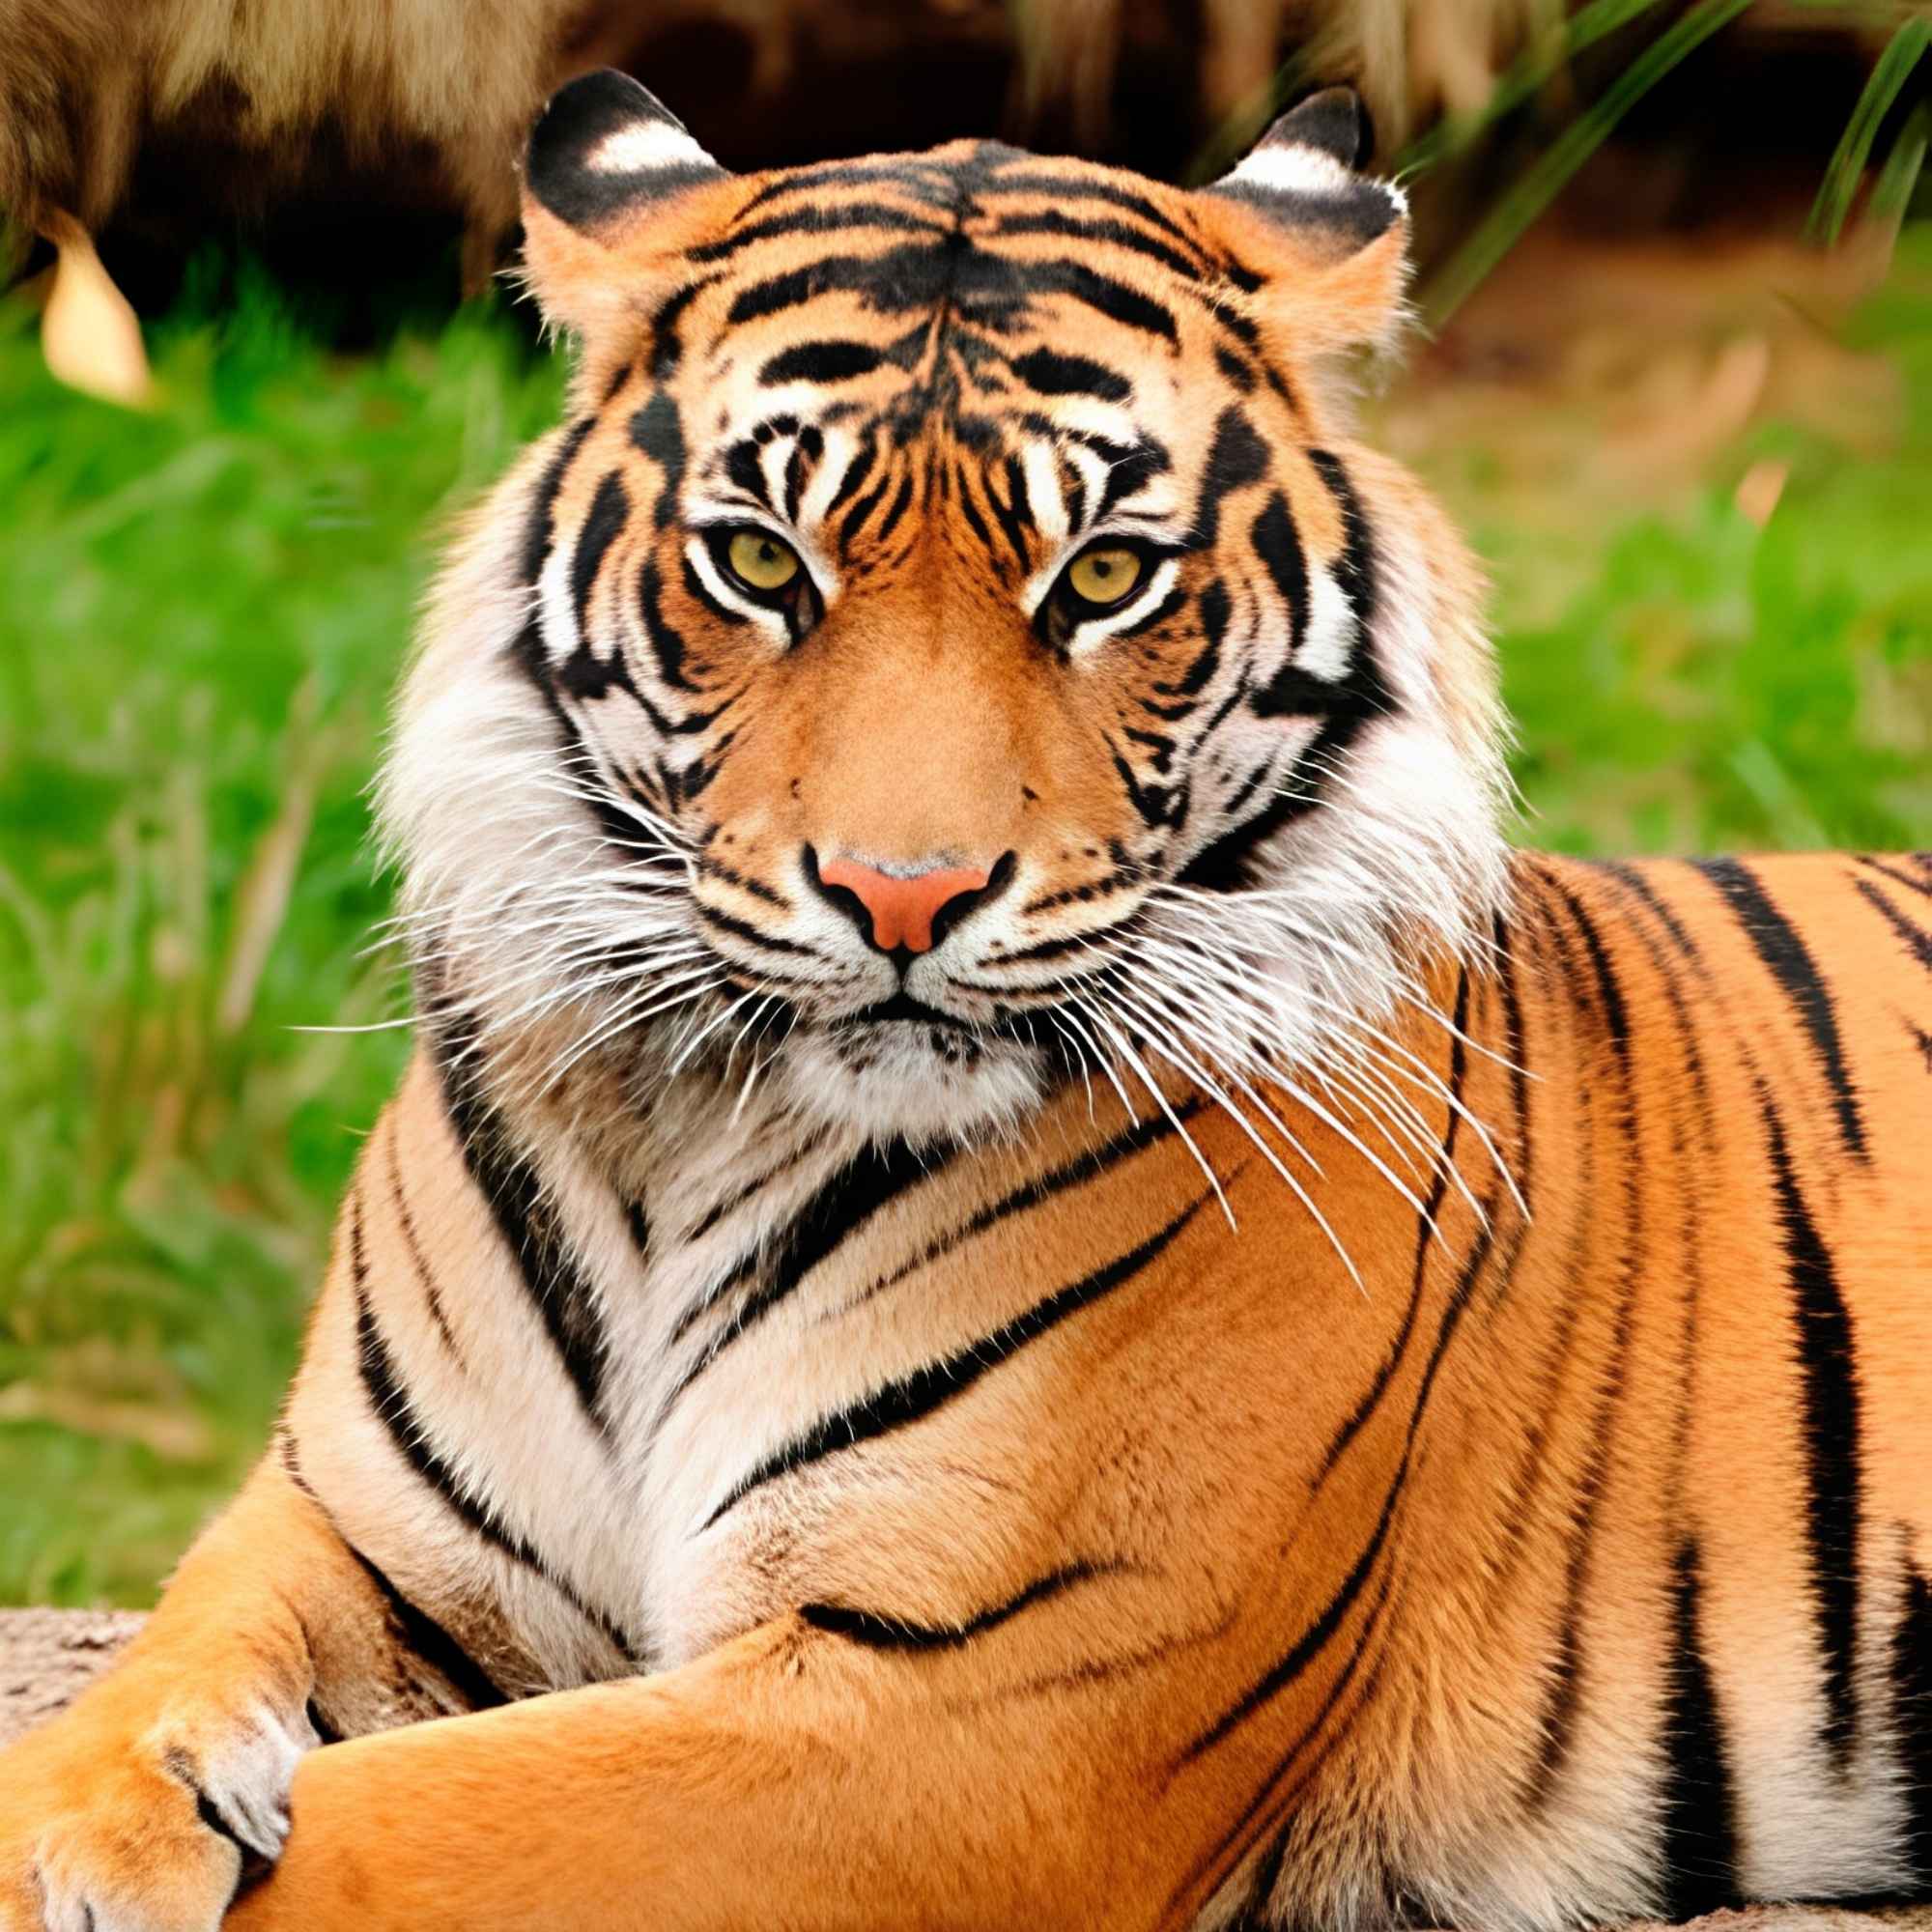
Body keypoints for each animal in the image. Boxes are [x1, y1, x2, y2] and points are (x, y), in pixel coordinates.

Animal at [2, 65, 1929, 1932]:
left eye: (1106, 578)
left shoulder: (963, 1712)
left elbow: (408, 1830)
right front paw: (76, 1827)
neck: (686, 1135)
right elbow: (157, 1663)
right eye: (761, 563)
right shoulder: (360, 1534)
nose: (903, 897)